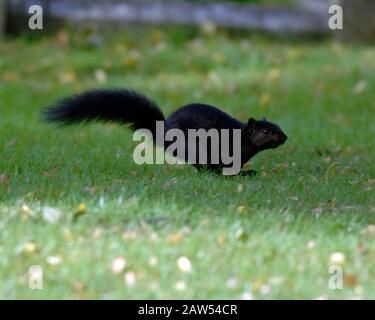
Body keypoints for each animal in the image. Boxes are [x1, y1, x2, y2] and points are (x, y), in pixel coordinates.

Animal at [42, 89, 288, 176]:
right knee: (203, 166)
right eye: (266, 130)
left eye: (278, 126)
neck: (242, 137)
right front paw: (243, 173)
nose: (285, 138)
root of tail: (165, 130)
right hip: (195, 147)